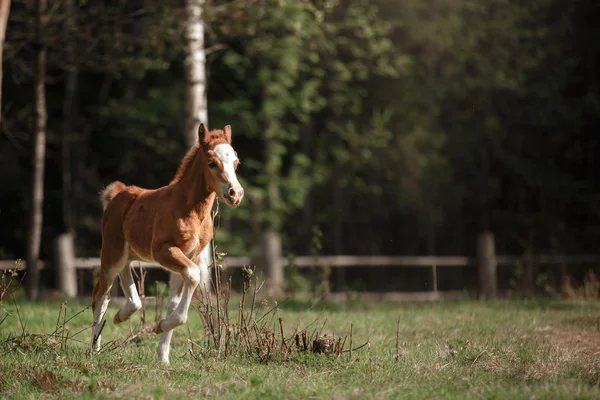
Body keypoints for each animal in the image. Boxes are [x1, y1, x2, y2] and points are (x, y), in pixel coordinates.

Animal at [91, 123, 241, 364]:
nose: (235, 194)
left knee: (129, 288)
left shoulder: (190, 256)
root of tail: (118, 193)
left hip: (127, 253)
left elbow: (174, 299)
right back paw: (94, 349)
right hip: (111, 253)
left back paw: (121, 316)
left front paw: (163, 355)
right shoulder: (163, 251)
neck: (190, 209)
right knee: (100, 297)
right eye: (211, 162)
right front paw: (161, 326)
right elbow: (194, 276)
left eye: (236, 162)